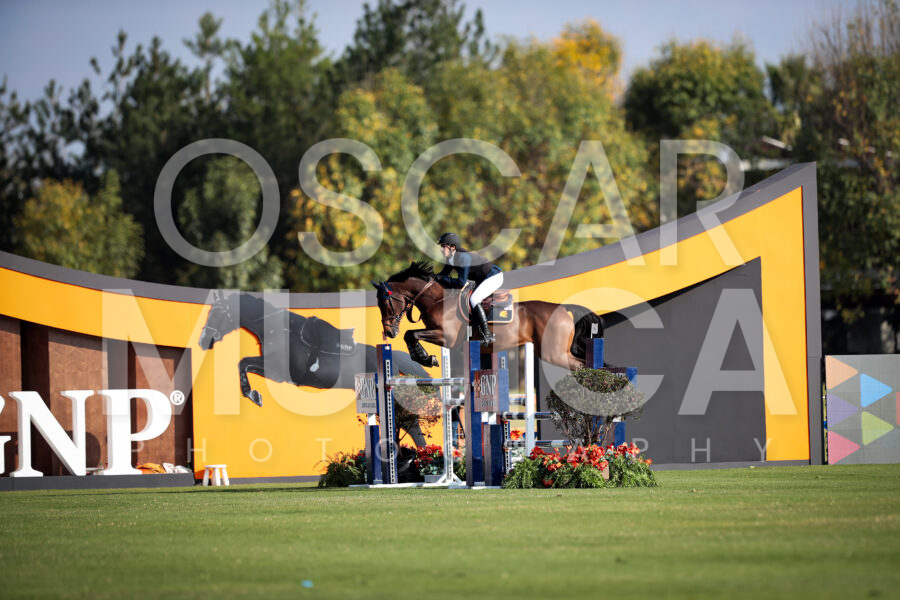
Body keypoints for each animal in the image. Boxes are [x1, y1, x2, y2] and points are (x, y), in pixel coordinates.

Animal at [198, 290, 431, 445]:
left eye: (217, 313)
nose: (202, 341)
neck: (279, 330)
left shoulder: (279, 372)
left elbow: (243, 362)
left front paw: (254, 395)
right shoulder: (274, 371)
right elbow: (243, 363)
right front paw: (254, 395)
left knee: (408, 421)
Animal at [372, 261, 606, 369]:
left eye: (385, 303)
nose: (388, 332)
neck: (438, 300)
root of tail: (562, 308)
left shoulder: (445, 336)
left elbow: (411, 334)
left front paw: (425, 357)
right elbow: (410, 335)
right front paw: (425, 357)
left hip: (553, 353)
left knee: (581, 366)